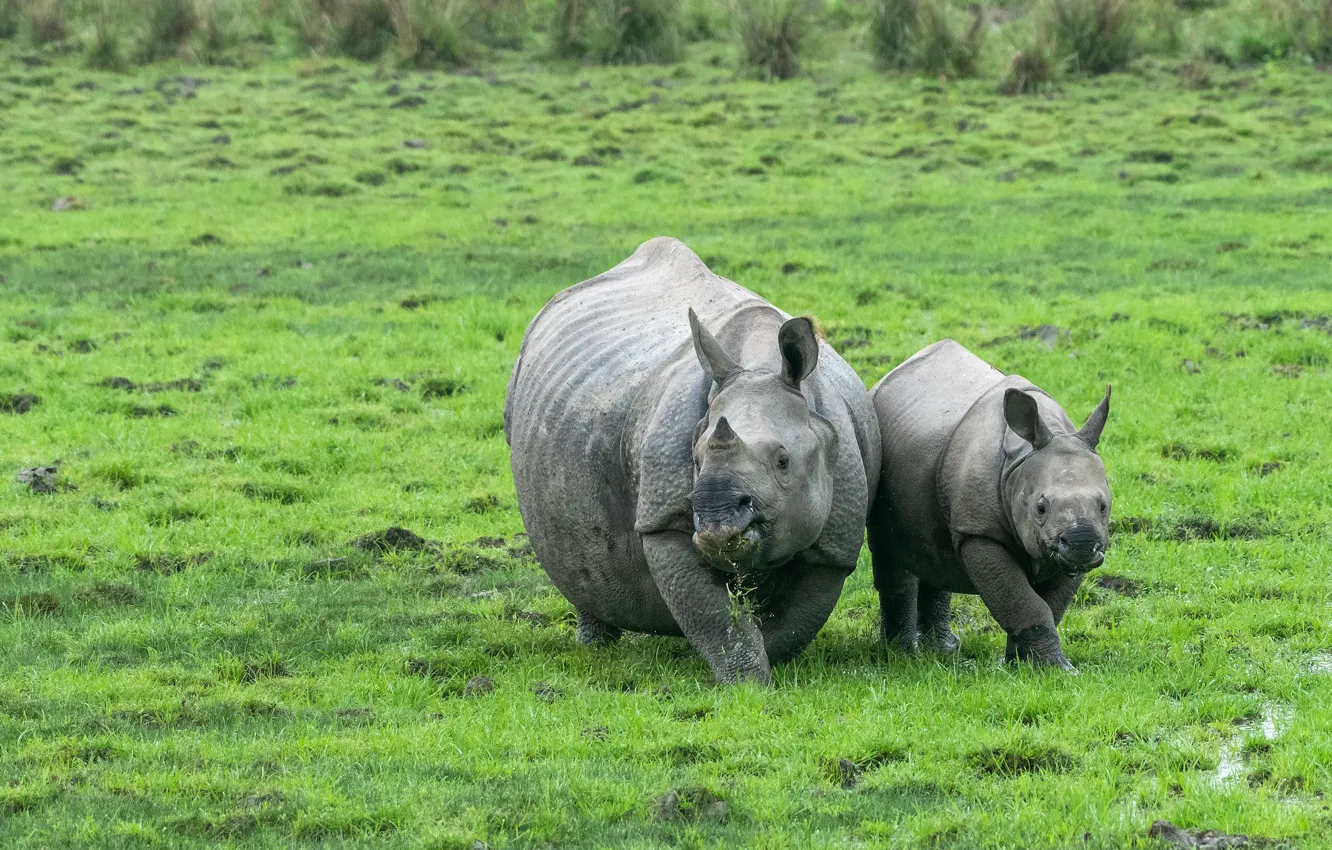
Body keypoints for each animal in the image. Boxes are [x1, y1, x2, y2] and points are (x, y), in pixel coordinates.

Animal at [505, 237, 880, 684]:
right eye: (695, 461)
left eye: (783, 461)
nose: (716, 520)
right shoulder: (662, 518)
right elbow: (715, 616)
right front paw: (747, 681)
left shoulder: (835, 546)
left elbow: (791, 621)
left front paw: (757, 671)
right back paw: (596, 648)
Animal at [866, 340, 1111, 672]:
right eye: (1040, 508)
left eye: (1103, 506)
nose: (1082, 542)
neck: (1020, 461)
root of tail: (886, 378)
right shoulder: (980, 533)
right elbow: (1024, 603)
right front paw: (1056, 670)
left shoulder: (1068, 554)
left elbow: (1049, 606)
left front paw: (1022, 665)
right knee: (891, 553)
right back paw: (901, 652)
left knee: (934, 551)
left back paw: (943, 649)